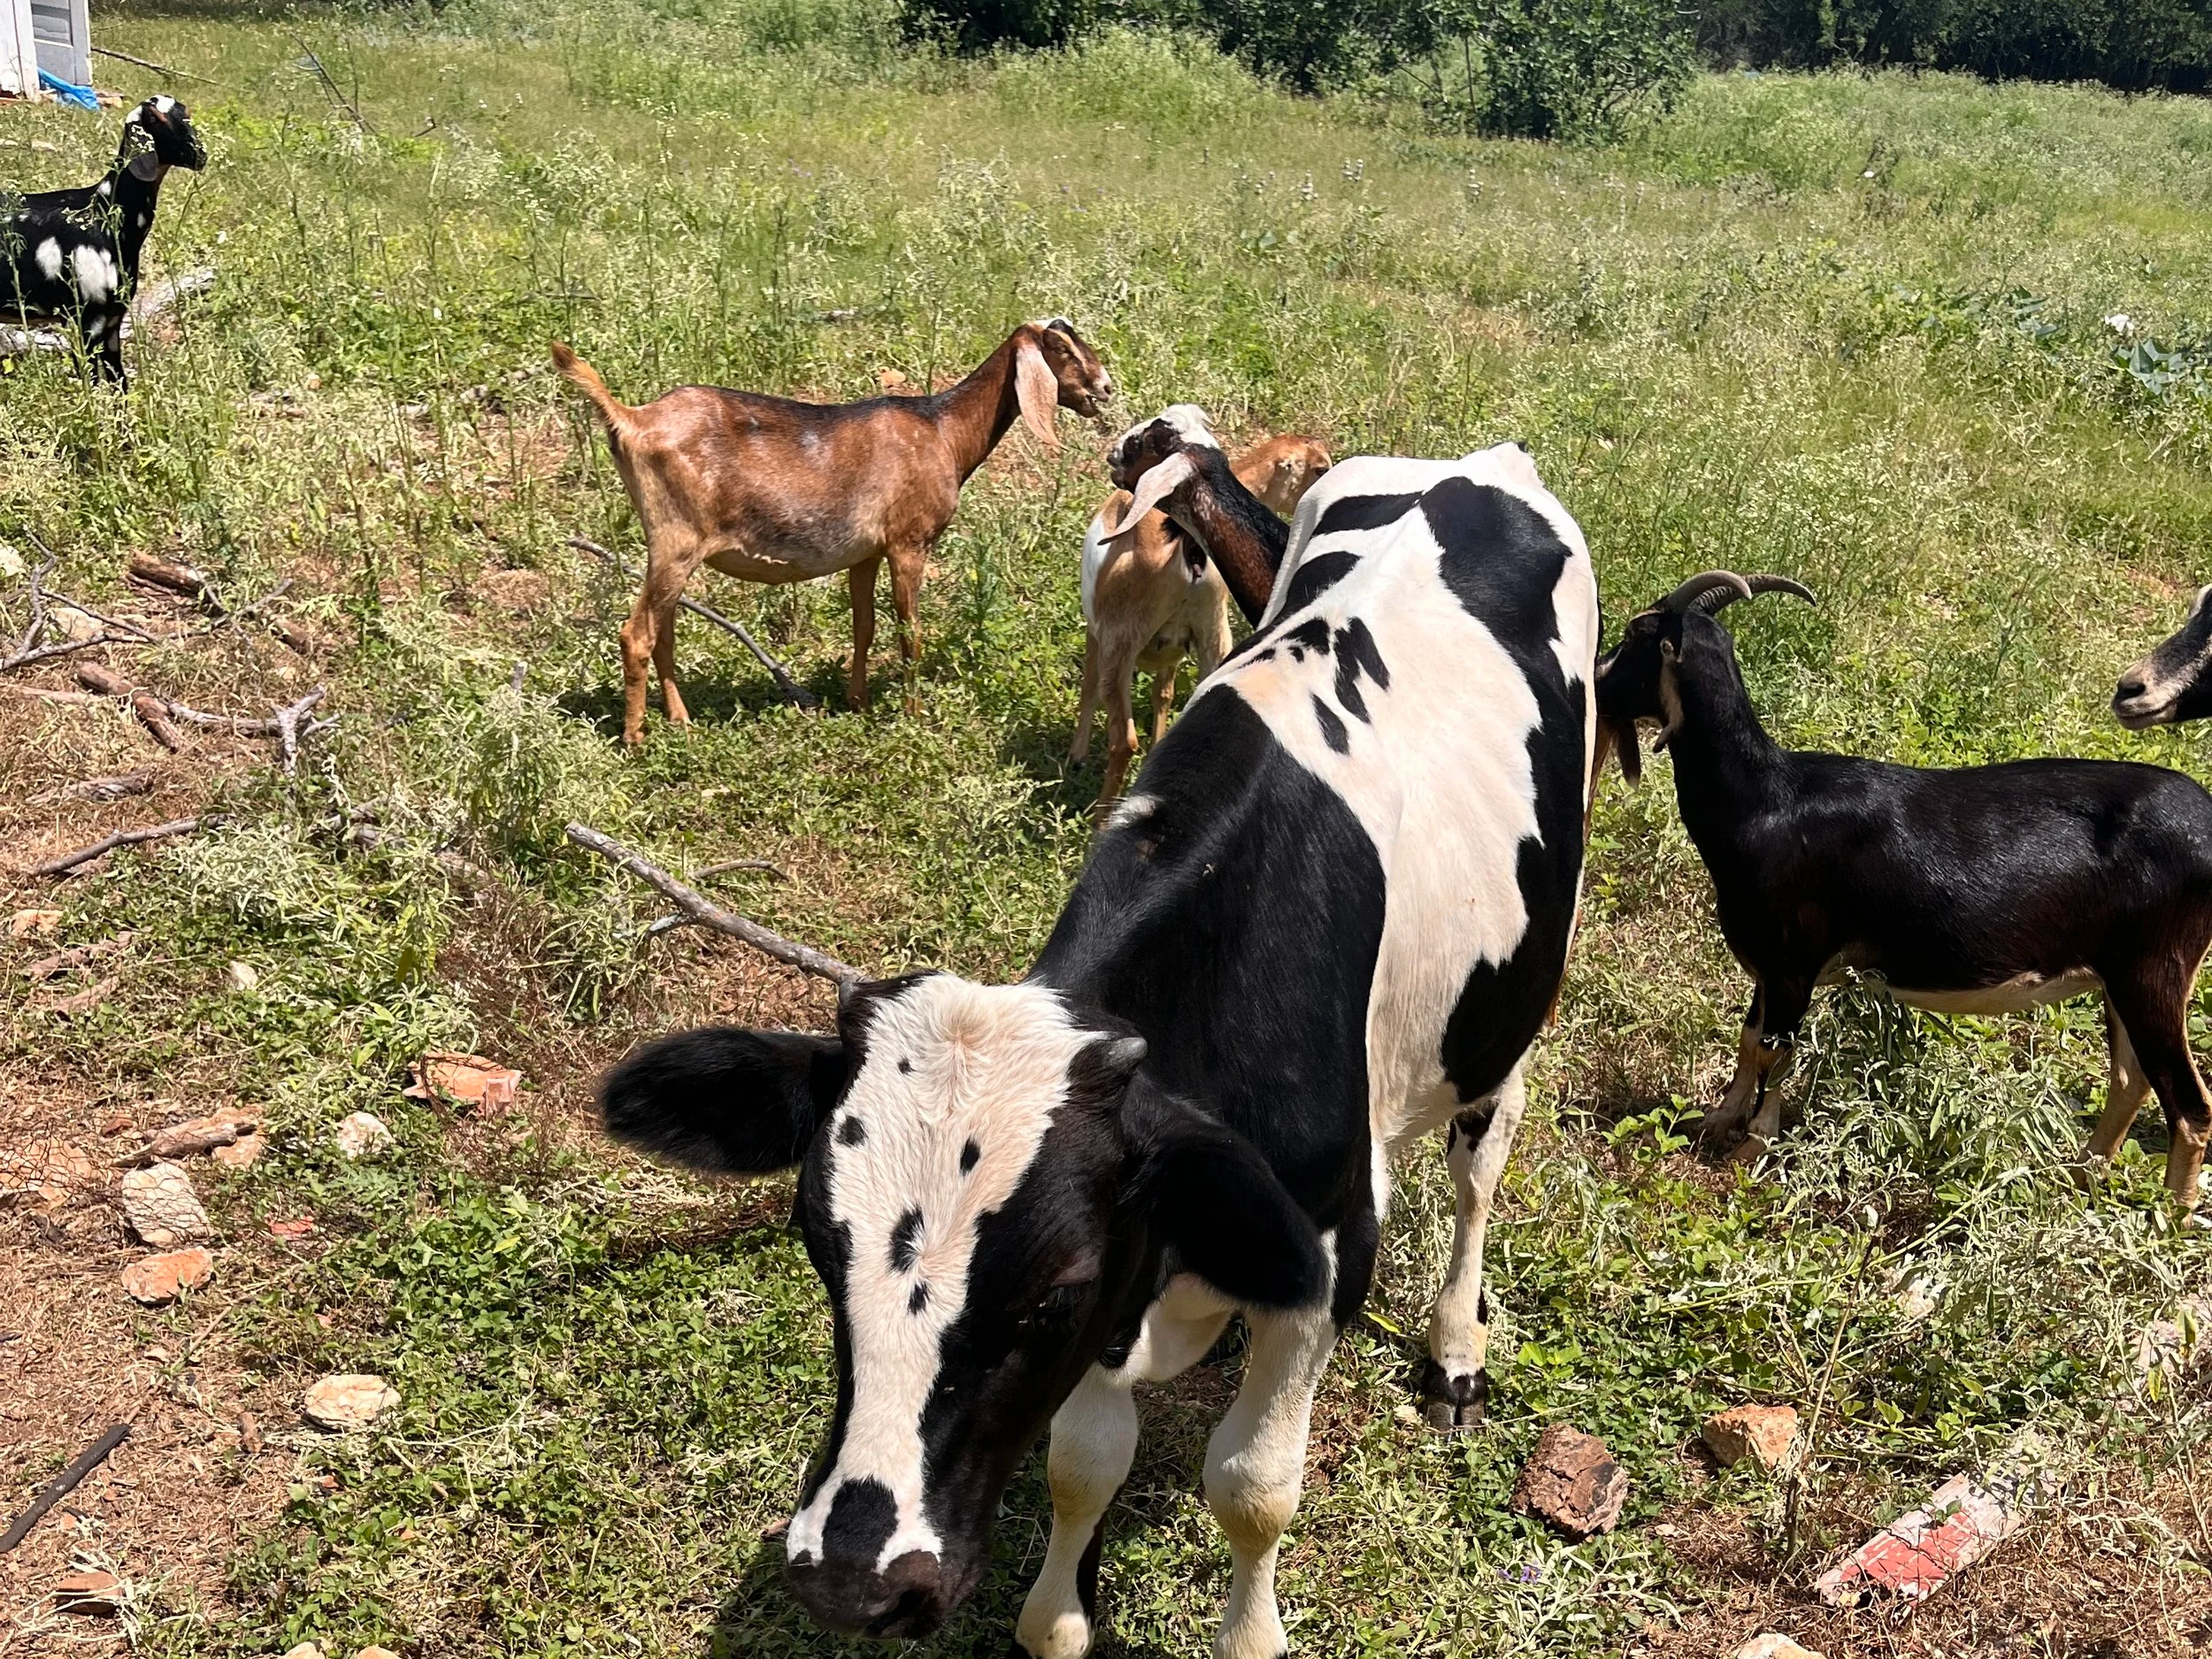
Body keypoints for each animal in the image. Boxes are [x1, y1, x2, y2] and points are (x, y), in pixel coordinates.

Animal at [2, 97, 206, 384]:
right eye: (153, 119)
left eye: (184, 112)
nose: (199, 155)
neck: (104, 213)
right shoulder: (86, 322)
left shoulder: (112, 321)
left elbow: (119, 382)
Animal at [553, 318, 1114, 744]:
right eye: (1061, 349)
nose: (1106, 387)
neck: (944, 430)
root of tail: (632, 420)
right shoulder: (909, 542)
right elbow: (909, 631)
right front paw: (912, 716)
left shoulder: (866, 552)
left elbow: (864, 625)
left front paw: (858, 701)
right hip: (676, 540)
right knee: (637, 634)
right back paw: (636, 739)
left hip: (672, 549)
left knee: (662, 631)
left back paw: (680, 721)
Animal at [1070, 416, 1331, 805]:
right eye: (1320, 468)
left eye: (1143, 442)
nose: (1112, 454)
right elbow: (1163, 691)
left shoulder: (1100, 632)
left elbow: (1089, 683)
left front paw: (1077, 757)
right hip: (1214, 637)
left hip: (1122, 643)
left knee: (1123, 738)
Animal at [1598, 571, 2212, 1206]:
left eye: (1637, 635)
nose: (1595, 678)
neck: (1765, 801)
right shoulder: (1768, 965)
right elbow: (1750, 1041)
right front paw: (1720, 1120)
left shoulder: (1794, 958)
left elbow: (1779, 1050)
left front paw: (1753, 1148)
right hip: (2121, 975)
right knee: (2132, 1078)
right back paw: (2081, 1177)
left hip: (2155, 967)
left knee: (2190, 1106)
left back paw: (2169, 1216)